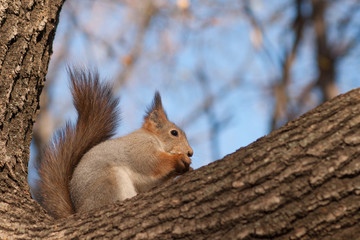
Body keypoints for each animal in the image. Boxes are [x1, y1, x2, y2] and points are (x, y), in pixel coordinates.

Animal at [34, 68, 194, 218]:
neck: (154, 138)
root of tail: (80, 211)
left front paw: (186, 168)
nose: (190, 152)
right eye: (174, 133)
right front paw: (179, 159)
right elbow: (152, 163)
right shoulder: (140, 147)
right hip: (109, 181)